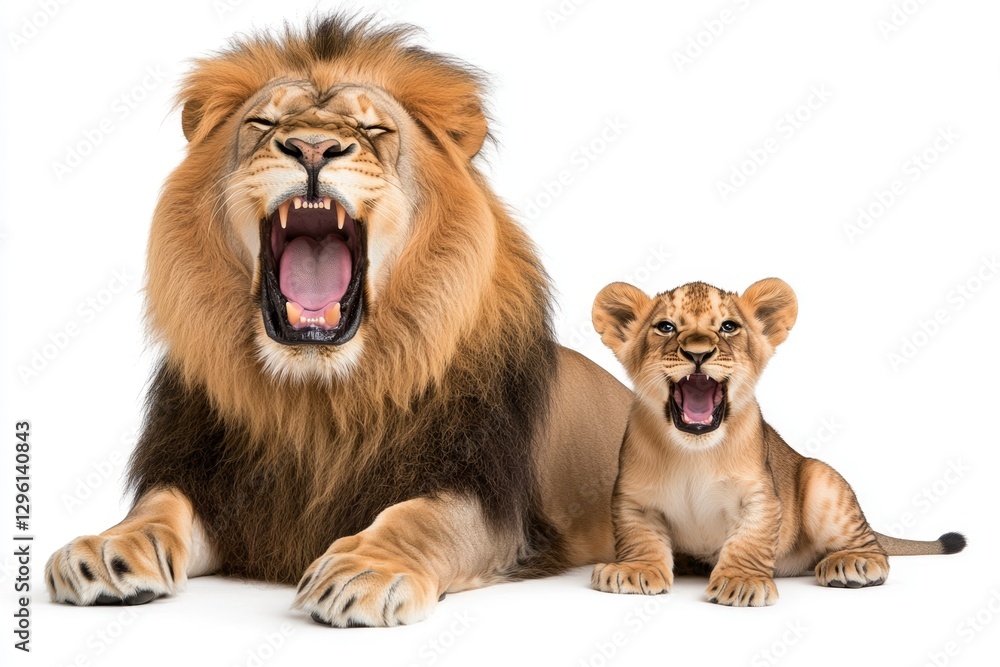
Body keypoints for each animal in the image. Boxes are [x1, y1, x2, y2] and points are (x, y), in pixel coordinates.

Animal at [44, 16, 632, 626]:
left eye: (373, 129)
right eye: (263, 123)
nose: (312, 147)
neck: (317, 395)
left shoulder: (487, 499)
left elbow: (424, 517)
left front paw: (367, 569)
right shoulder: (210, 481)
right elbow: (159, 504)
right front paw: (109, 545)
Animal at [589, 279, 966, 606]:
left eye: (728, 327)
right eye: (666, 327)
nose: (698, 352)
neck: (694, 451)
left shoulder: (761, 496)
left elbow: (750, 539)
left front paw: (741, 582)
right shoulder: (635, 499)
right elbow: (640, 536)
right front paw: (635, 570)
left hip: (821, 478)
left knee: (875, 548)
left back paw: (854, 563)